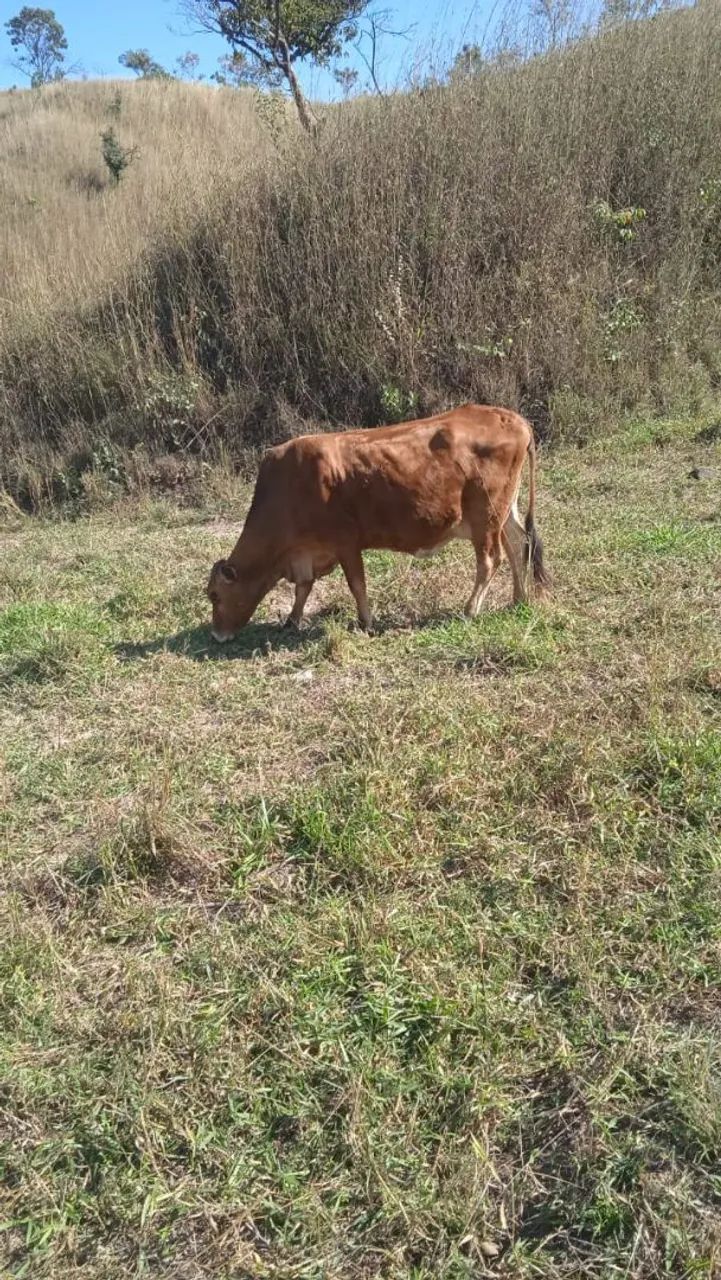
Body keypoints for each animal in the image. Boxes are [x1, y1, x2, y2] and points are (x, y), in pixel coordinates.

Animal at [207, 403, 550, 641]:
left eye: (215, 595)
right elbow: (304, 587)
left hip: (485, 515)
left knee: (491, 560)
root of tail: (511, 418)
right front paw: (292, 620)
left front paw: (366, 622)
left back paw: (470, 609)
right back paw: (519, 598)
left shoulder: (345, 542)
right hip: (503, 512)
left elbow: (356, 584)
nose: (217, 635)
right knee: (519, 542)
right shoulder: (307, 552)